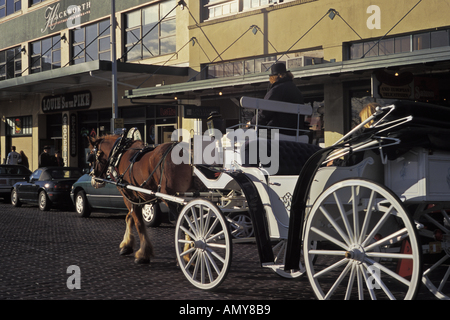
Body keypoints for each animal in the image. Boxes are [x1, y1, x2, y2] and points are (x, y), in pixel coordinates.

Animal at [89, 134, 192, 264]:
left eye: (94, 157)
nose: (93, 178)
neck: (119, 153)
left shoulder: (128, 195)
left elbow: (138, 223)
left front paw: (143, 254)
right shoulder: (140, 198)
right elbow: (129, 217)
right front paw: (126, 245)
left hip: (172, 198)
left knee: (185, 223)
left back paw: (186, 256)